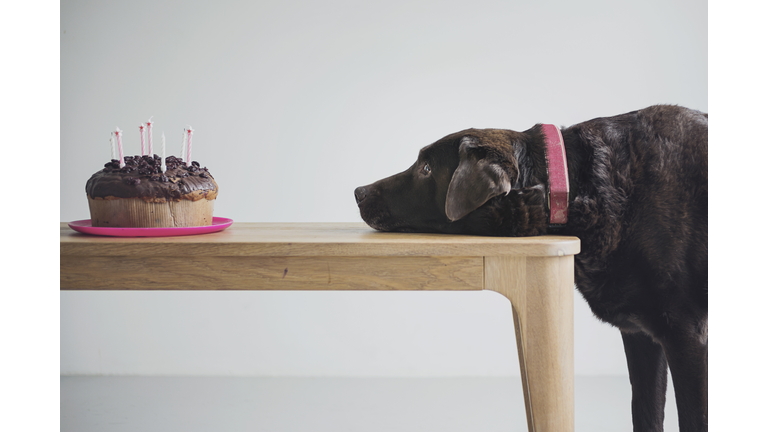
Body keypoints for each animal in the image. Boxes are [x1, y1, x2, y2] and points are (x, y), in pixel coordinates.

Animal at [354, 105, 708, 432]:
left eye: (426, 168)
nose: (358, 192)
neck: (573, 185)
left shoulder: (687, 337)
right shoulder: (640, 336)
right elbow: (645, 413)